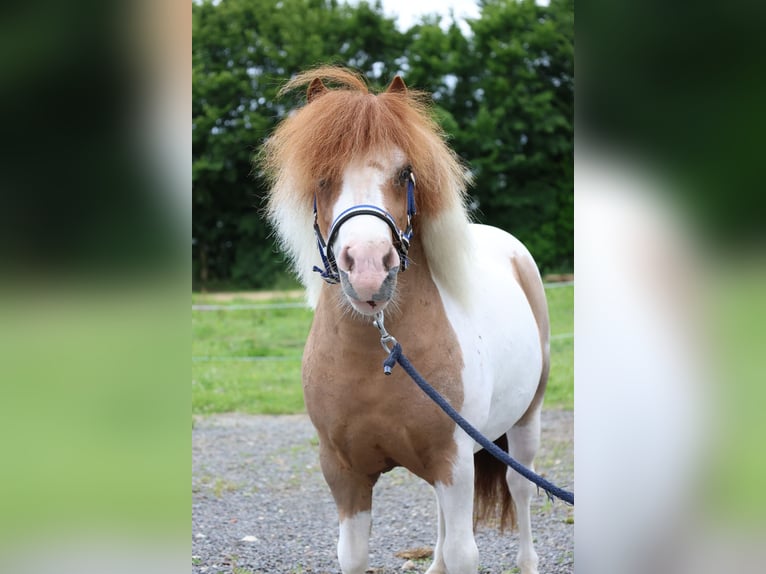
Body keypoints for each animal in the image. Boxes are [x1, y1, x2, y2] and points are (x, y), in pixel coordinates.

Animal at [260, 67, 550, 574]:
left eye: (403, 173)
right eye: (322, 177)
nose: (368, 267)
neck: (376, 358)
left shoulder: (455, 463)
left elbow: (464, 553)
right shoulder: (344, 472)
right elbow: (354, 555)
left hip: (524, 422)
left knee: (521, 489)